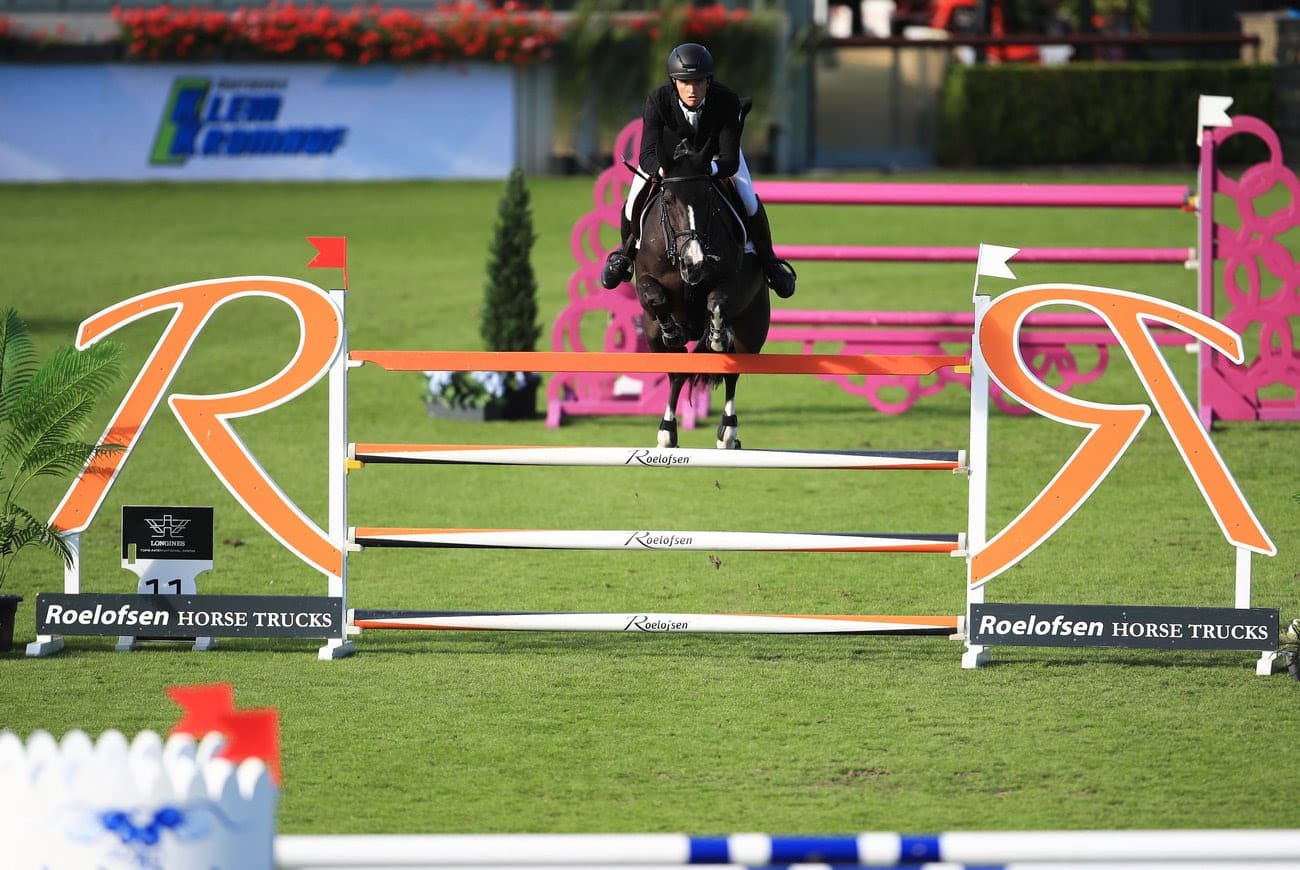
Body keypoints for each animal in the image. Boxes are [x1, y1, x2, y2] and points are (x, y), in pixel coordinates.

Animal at [631, 147, 764, 447]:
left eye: (707, 197)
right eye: (668, 200)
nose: (695, 263)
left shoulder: (736, 281)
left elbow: (717, 301)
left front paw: (717, 335)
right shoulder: (645, 279)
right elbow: (655, 297)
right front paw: (672, 331)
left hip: (752, 329)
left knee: (733, 369)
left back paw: (728, 431)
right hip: (651, 335)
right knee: (677, 371)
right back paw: (667, 432)